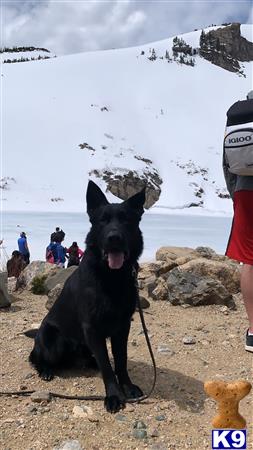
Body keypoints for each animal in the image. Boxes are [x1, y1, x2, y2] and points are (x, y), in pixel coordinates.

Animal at [27, 179, 145, 412]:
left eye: (126, 220)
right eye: (103, 221)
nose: (114, 238)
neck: (111, 277)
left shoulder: (123, 326)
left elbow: (121, 360)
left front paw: (127, 386)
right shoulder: (92, 328)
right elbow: (107, 366)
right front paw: (114, 395)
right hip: (52, 340)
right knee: (35, 357)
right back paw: (45, 370)